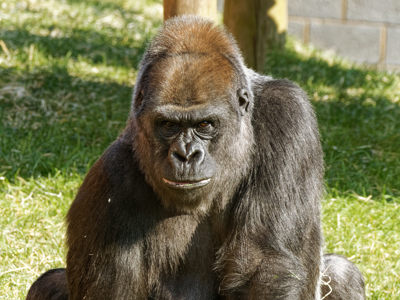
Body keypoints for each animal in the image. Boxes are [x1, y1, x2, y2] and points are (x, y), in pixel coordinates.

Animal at [25, 16, 366, 300]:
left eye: (205, 125)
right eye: (168, 125)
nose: (186, 154)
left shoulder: (288, 114)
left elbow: (265, 265)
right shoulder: (109, 178)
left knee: (341, 274)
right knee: (48, 283)